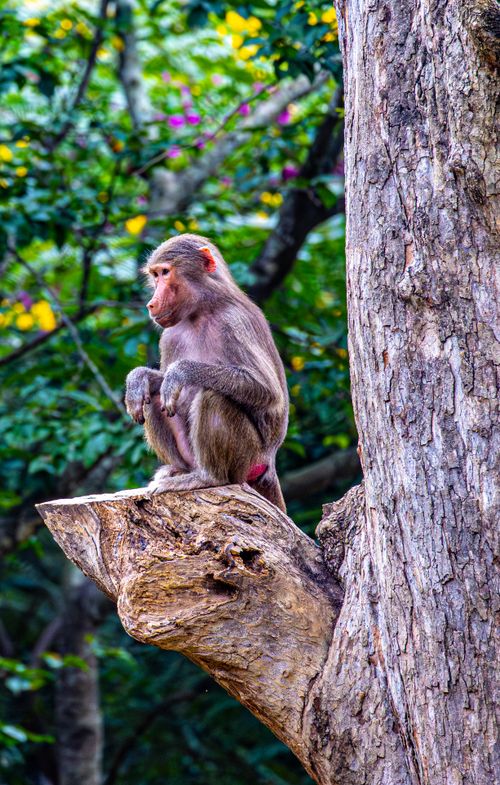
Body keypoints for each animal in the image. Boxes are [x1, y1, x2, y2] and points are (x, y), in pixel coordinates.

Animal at [125, 233, 289, 512]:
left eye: (166, 272)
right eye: (154, 275)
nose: (151, 304)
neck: (200, 311)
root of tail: (270, 464)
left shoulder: (235, 322)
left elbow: (269, 392)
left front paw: (180, 373)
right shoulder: (169, 335)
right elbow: (155, 386)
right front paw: (137, 379)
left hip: (249, 458)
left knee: (213, 396)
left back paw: (208, 477)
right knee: (152, 398)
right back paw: (179, 470)